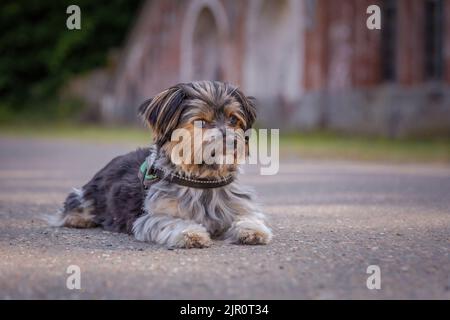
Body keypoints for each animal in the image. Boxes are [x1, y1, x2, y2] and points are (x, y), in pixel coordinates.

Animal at [49, 81, 274, 249]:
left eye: (233, 120)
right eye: (201, 122)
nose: (234, 141)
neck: (202, 179)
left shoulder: (240, 205)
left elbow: (249, 216)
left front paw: (252, 230)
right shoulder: (149, 218)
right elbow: (172, 222)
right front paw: (191, 233)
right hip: (90, 194)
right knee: (76, 201)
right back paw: (78, 219)